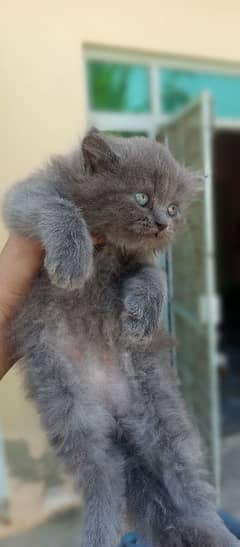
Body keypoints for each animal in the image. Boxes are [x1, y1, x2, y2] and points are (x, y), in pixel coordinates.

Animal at [3, 133, 238, 547]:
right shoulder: (30, 194)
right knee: (105, 478)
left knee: (193, 495)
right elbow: (58, 207)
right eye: (142, 197)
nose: (162, 223)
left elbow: (155, 278)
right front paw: (72, 261)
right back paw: (98, 535)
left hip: (166, 418)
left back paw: (220, 534)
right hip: (70, 408)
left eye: (174, 208)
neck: (108, 244)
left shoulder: (140, 261)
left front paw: (140, 318)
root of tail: (115, 412)